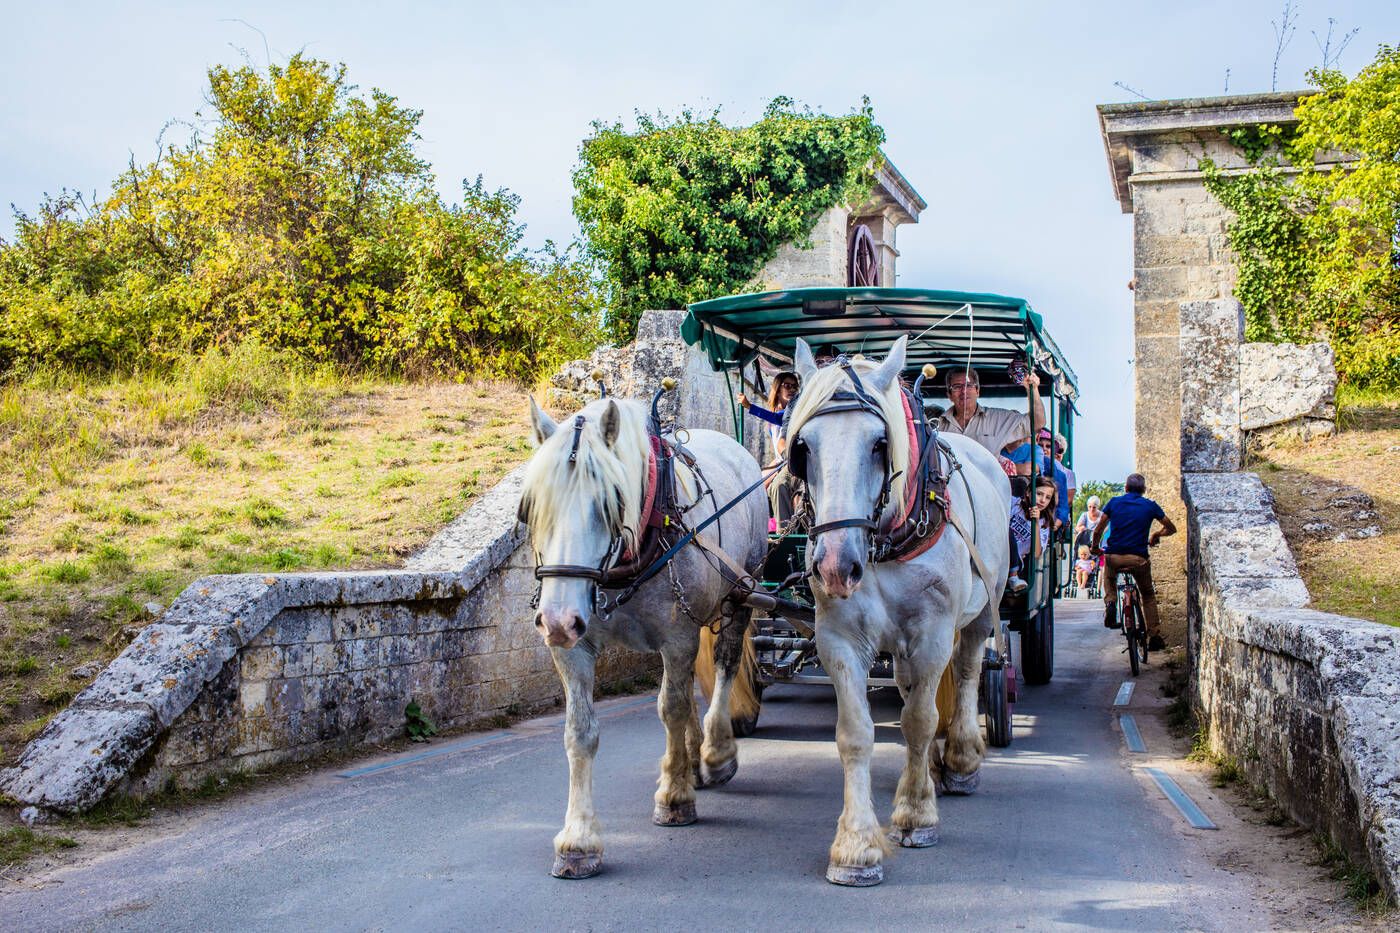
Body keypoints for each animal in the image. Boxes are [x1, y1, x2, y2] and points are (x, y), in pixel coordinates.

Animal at [523, 395, 767, 874]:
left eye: (610, 501)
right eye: (533, 507)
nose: (556, 621)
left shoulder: (677, 636)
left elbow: (670, 708)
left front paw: (674, 798)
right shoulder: (576, 647)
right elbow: (580, 731)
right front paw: (578, 839)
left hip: (740, 594)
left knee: (724, 667)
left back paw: (715, 752)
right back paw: (692, 758)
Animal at [789, 336, 1008, 885]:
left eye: (877, 444)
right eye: (803, 448)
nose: (834, 565)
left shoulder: (932, 635)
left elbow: (920, 722)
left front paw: (916, 816)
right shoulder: (839, 639)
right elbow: (856, 734)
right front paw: (856, 845)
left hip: (980, 612)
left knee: (967, 673)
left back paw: (960, 760)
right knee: (912, 692)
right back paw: (929, 767)